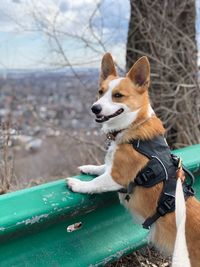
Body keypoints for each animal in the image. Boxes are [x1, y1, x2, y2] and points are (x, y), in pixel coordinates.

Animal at [67, 53, 200, 266]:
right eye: (100, 92)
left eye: (118, 95)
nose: (94, 108)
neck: (133, 126)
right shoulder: (111, 166)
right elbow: (101, 167)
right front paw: (88, 167)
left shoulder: (117, 177)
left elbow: (96, 183)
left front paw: (78, 184)